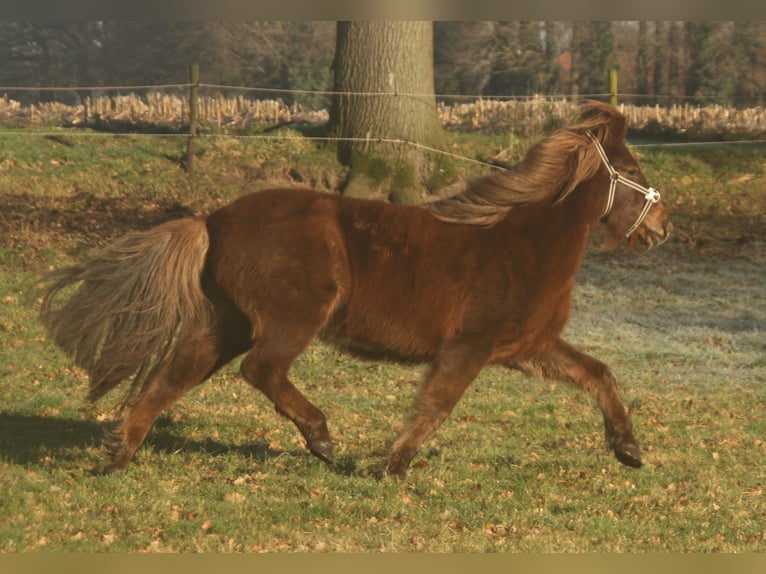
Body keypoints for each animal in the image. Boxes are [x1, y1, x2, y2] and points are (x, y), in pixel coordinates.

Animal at [37, 102, 672, 476]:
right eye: (632, 172)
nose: (664, 228)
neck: (520, 242)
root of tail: (213, 219)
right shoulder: (469, 348)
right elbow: (436, 405)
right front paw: (391, 466)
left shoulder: (528, 348)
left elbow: (599, 374)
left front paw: (629, 449)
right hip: (293, 317)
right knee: (261, 370)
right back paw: (321, 439)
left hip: (223, 325)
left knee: (169, 380)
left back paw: (117, 458)